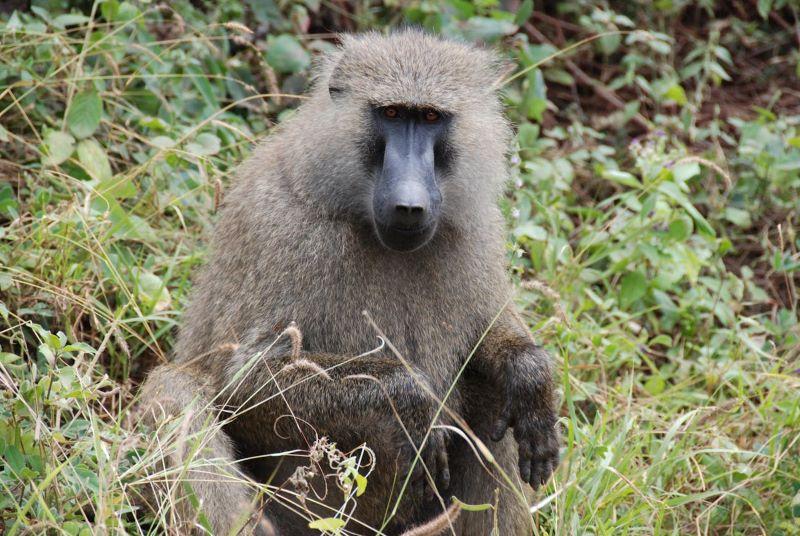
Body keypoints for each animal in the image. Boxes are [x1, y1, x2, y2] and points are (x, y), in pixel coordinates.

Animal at [139, 29, 560, 535]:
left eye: (431, 117)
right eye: (392, 114)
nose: (409, 205)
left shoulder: (477, 234)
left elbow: (493, 344)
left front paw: (530, 373)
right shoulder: (285, 232)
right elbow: (244, 380)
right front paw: (413, 398)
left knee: (496, 396)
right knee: (175, 393)